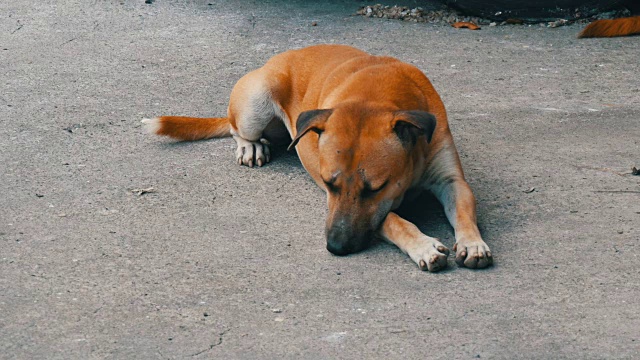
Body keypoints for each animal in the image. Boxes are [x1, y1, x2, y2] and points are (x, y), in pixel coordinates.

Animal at [144, 43, 496, 272]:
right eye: (328, 184)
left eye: (375, 188)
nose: (335, 248)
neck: (378, 95)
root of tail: (276, 60)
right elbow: (394, 220)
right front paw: (423, 245)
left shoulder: (451, 181)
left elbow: (464, 209)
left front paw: (472, 242)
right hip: (255, 103)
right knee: (235, 128)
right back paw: (250, 145)